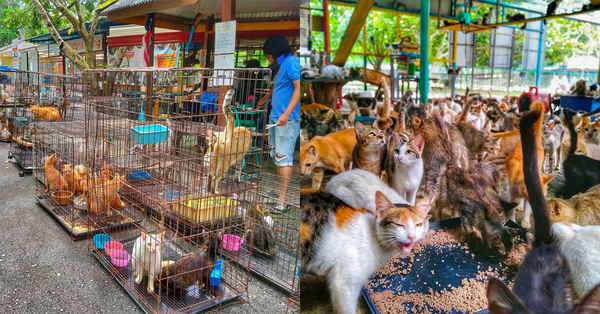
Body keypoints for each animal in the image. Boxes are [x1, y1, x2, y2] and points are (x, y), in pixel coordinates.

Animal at [300, 189, 432, 314]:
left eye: (418, 225)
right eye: (399, 224)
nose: (411, 237)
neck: (374, 235)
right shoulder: (344, 285)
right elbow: (347, 308)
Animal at [506, 100, 552, 228]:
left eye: (543, 196)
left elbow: (527, 209)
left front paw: (525, 221)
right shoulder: (511, 193)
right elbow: (511, 209)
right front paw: (512, 219)